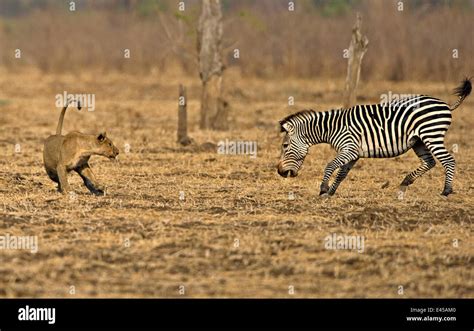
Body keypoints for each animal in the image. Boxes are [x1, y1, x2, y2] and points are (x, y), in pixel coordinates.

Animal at [278, 79, 470, 196]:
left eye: (285, 146)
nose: (279, 172)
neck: (332, 128)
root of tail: (445, 104)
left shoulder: (349, 148)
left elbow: (330, 165)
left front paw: (324, 189)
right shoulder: (354, 154)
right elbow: (341, 174)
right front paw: (331, 192)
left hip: (432, 135)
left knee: (448, 160)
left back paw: (446, 191)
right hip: (419, 141)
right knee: (429, 162)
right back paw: (405, 182)